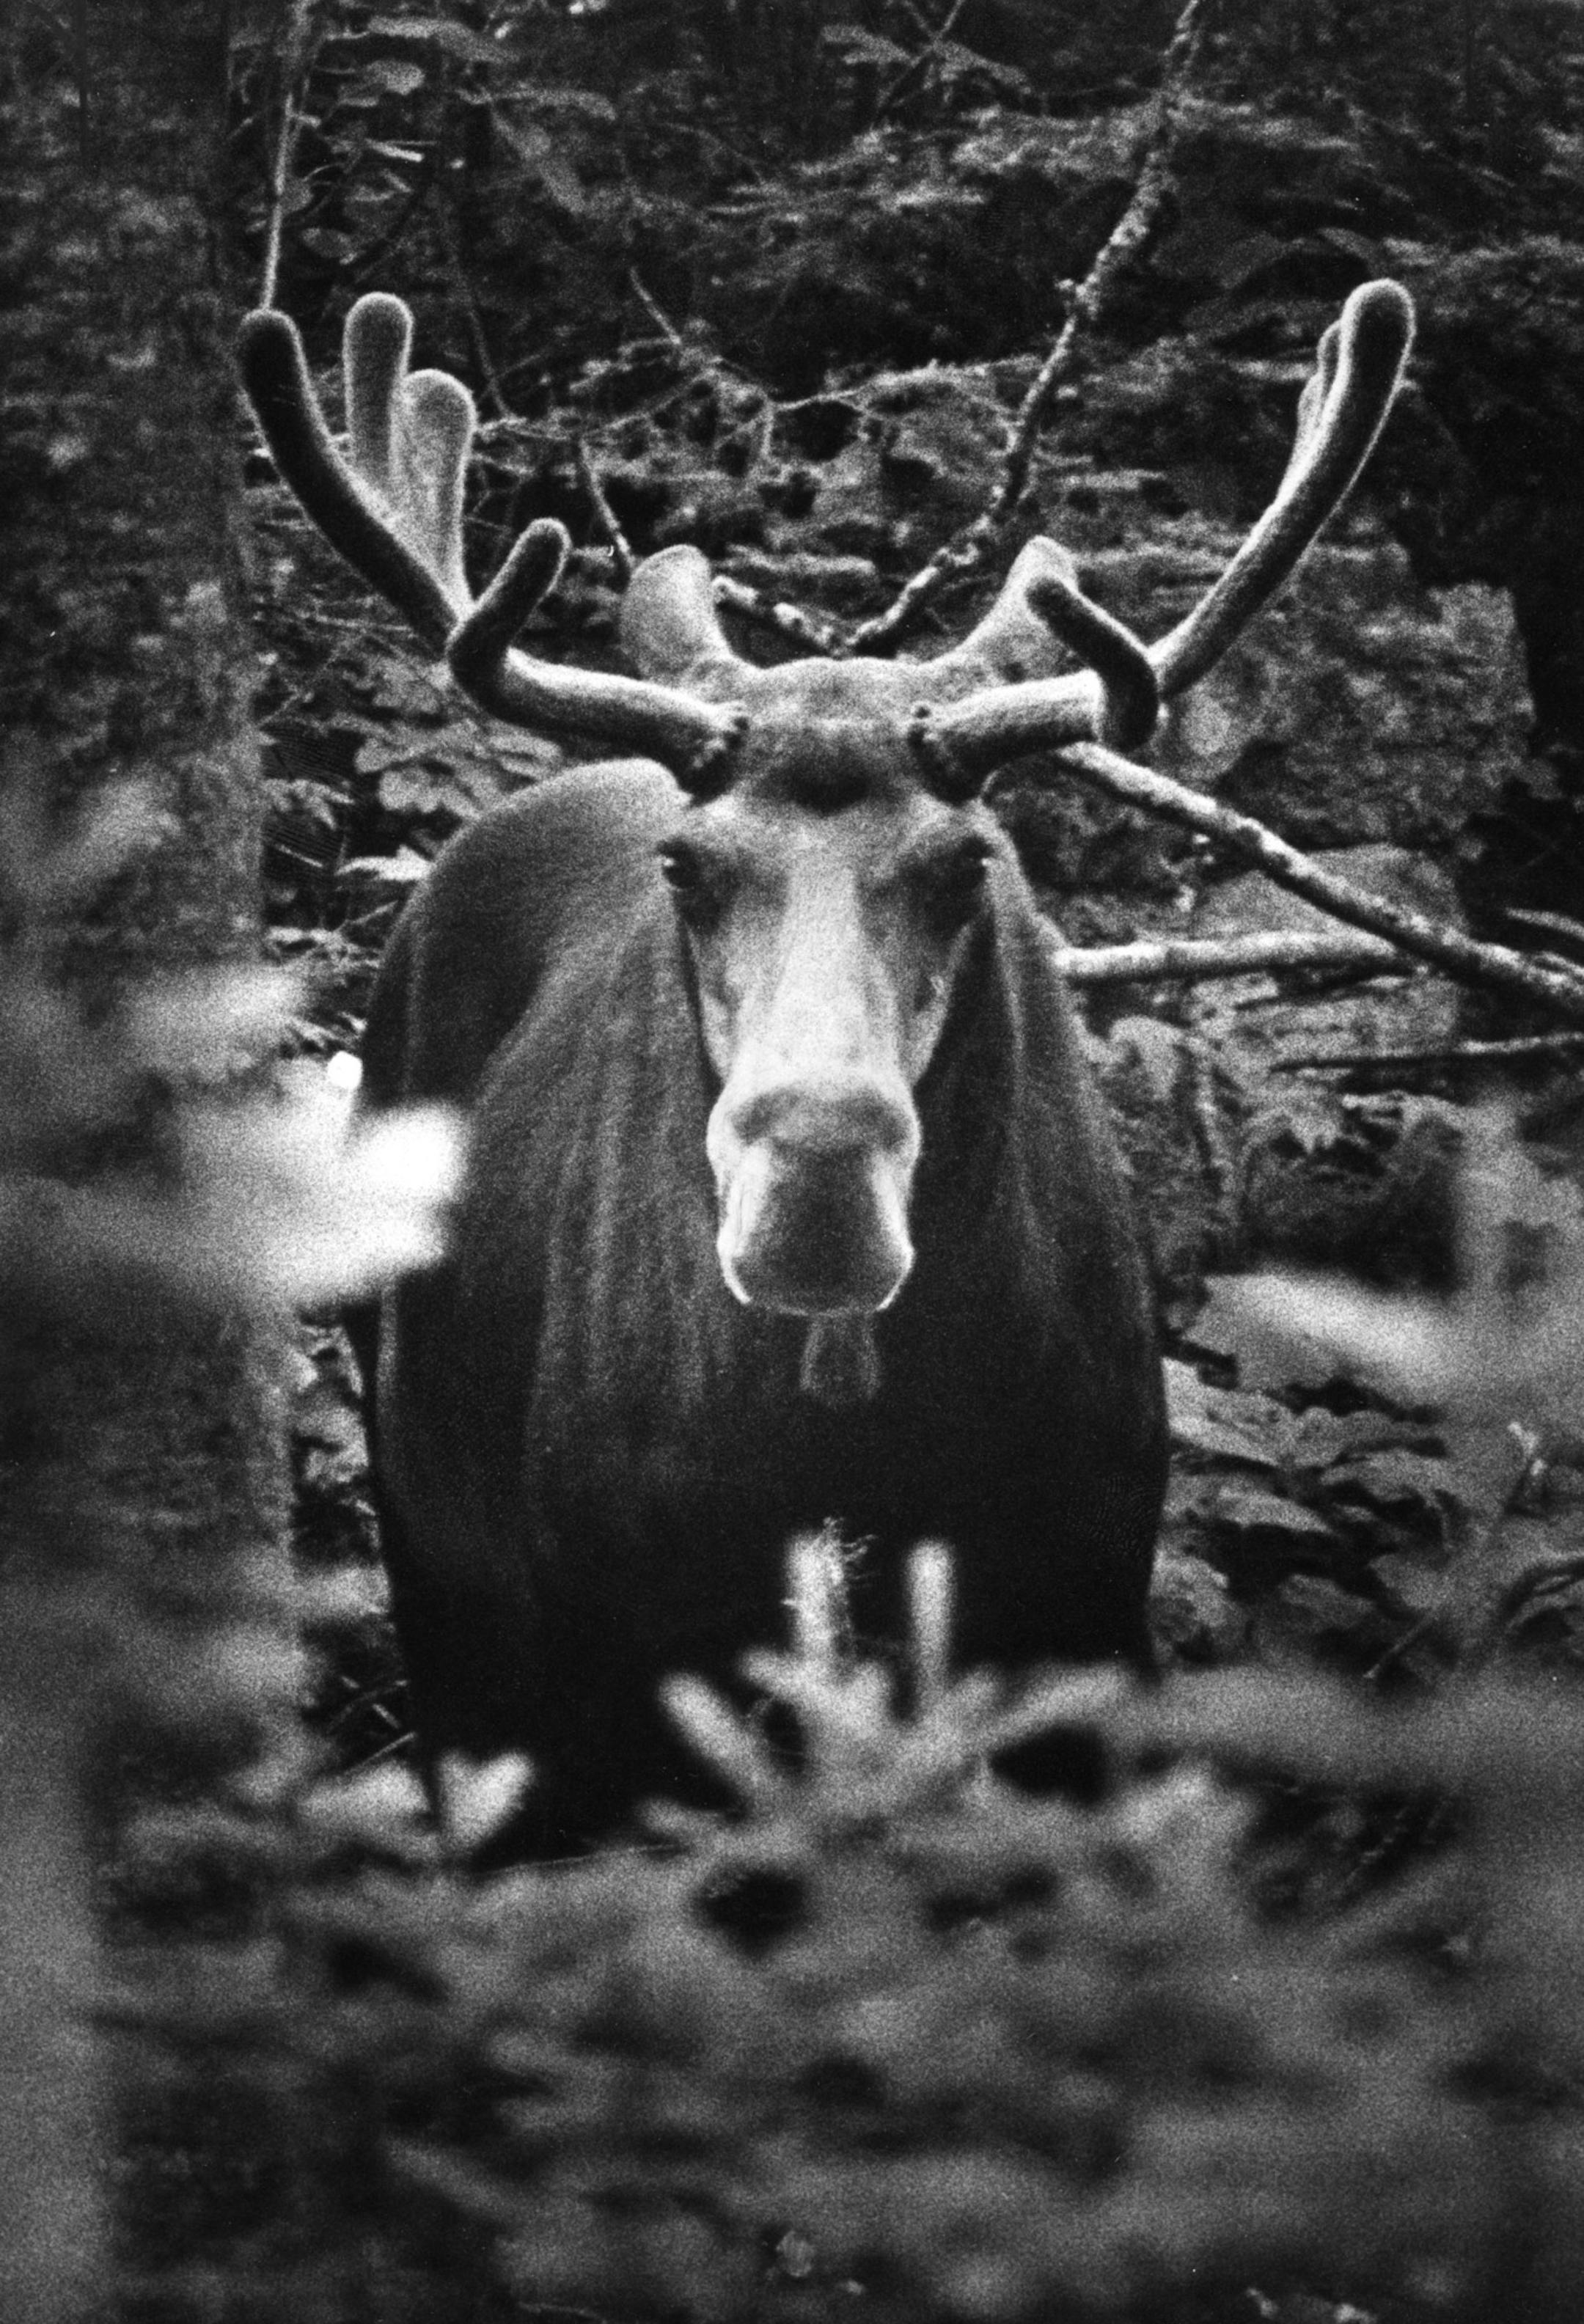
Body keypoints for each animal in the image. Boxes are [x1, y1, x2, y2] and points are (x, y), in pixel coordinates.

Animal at [240, 277, 1413, 1853]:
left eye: (969, 862)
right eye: (685, 863)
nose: (815, 1198)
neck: (852, 1418)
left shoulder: (1080, 1617)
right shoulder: (639, 1651)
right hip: (446, 1573)